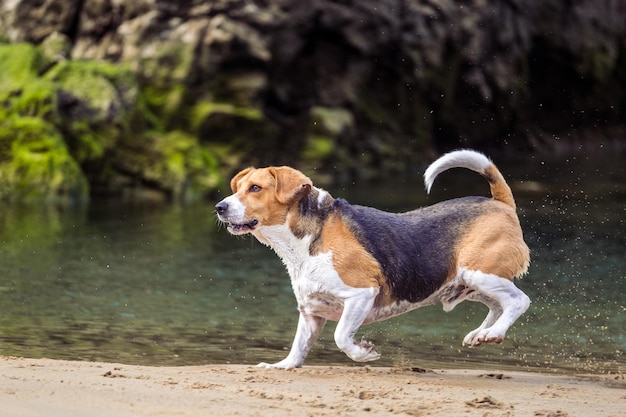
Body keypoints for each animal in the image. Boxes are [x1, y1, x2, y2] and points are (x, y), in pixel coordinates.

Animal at [213, 149, 528, 368]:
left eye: (255, 188)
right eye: (238, 188)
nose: (220, 207)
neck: (301, 242)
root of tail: (500, 203)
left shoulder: (361, 293)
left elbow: (341, 337)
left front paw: (364, 354)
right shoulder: (311, 311)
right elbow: (299, 346)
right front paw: (283, 366)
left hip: (480, 273)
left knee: (519, 301)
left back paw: (494, 332)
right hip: (469, 283)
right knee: (498, 306)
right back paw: (483, 333)